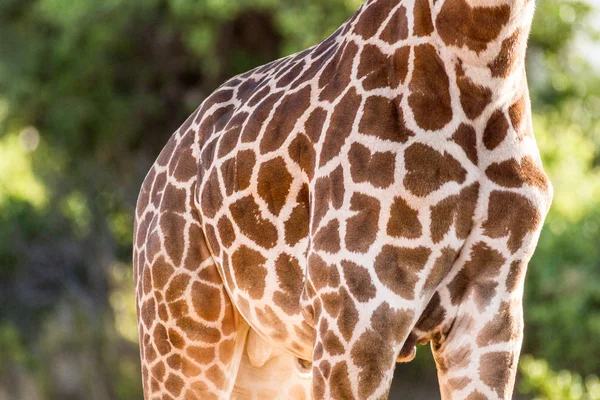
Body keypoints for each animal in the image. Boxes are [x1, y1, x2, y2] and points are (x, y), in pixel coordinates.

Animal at [135, 0, 552, 396]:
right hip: (185, 335)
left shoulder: (492, 308)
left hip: (274, 364)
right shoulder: (358, 310)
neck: (484, 62)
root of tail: (154, 175)